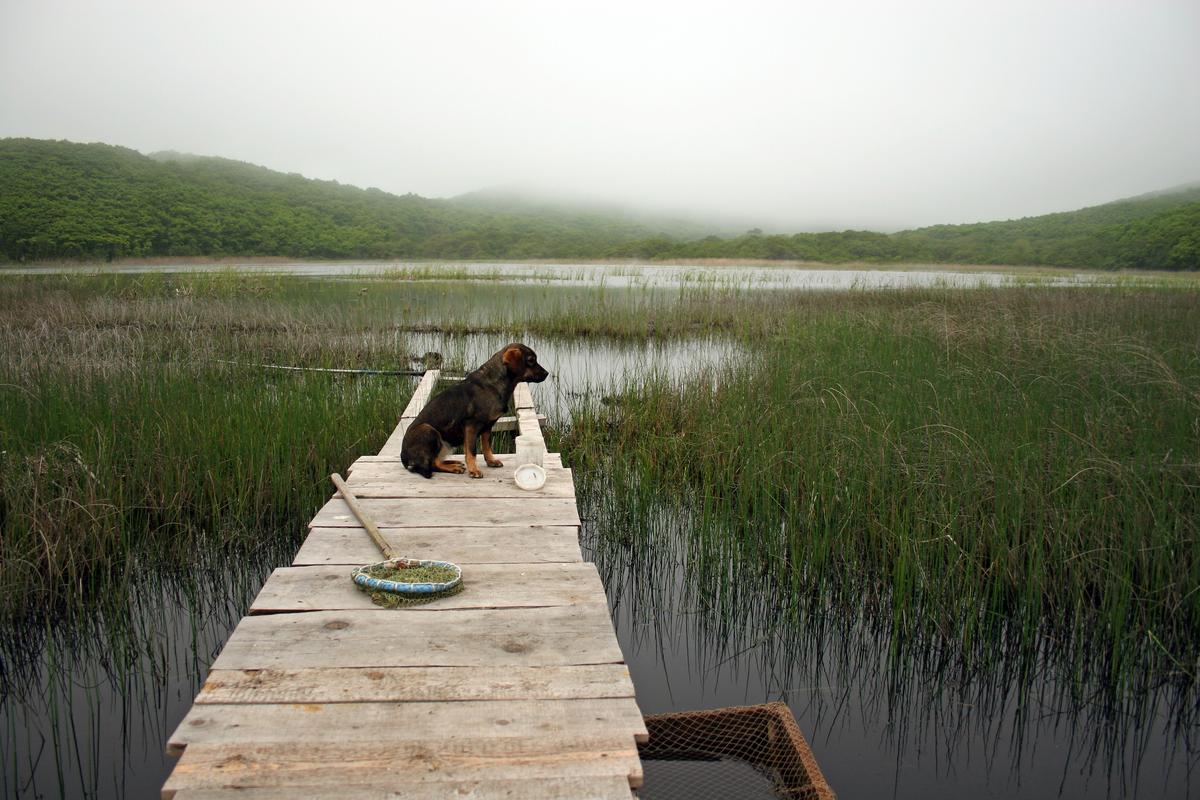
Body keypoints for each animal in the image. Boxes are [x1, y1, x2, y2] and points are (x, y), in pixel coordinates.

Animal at [403, 343, 552, 479]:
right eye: (531, 360)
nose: (547, 373)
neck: (494, 384)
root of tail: (403, 457)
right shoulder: (471, 426)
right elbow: (471, 451)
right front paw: (474, 470)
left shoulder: (488, 427)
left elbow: (486, 446)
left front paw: (491, 461)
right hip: (428, 430)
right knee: (433, 463)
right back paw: (453, 468)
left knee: (435, 460)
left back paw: (454, 462)